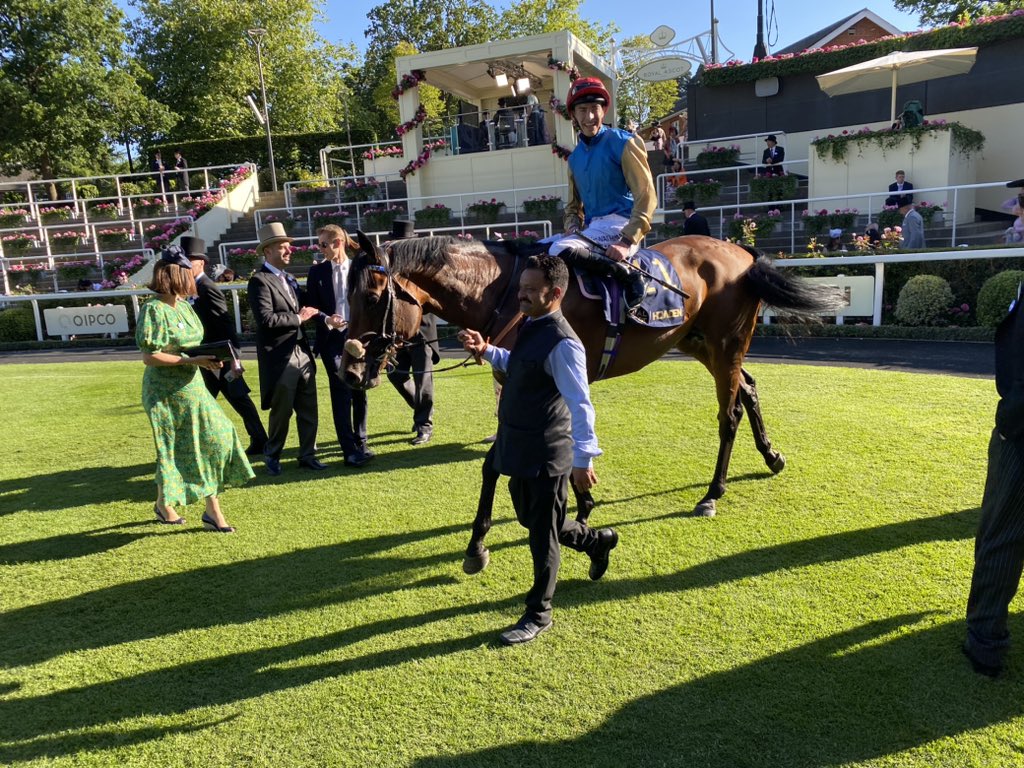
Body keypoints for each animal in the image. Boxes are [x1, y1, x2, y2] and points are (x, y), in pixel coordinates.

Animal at [339, 231, 835, 573]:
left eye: (372, 296)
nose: (349, 369)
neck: (506, 293)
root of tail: (743, 254)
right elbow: (520, 457)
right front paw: (580, 505)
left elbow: (507, 461)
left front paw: (479, 544)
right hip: (697, 342)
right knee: (748, 389)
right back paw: (771, 456)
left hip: (726, 342)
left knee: (728, 413)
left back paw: (713, 493)